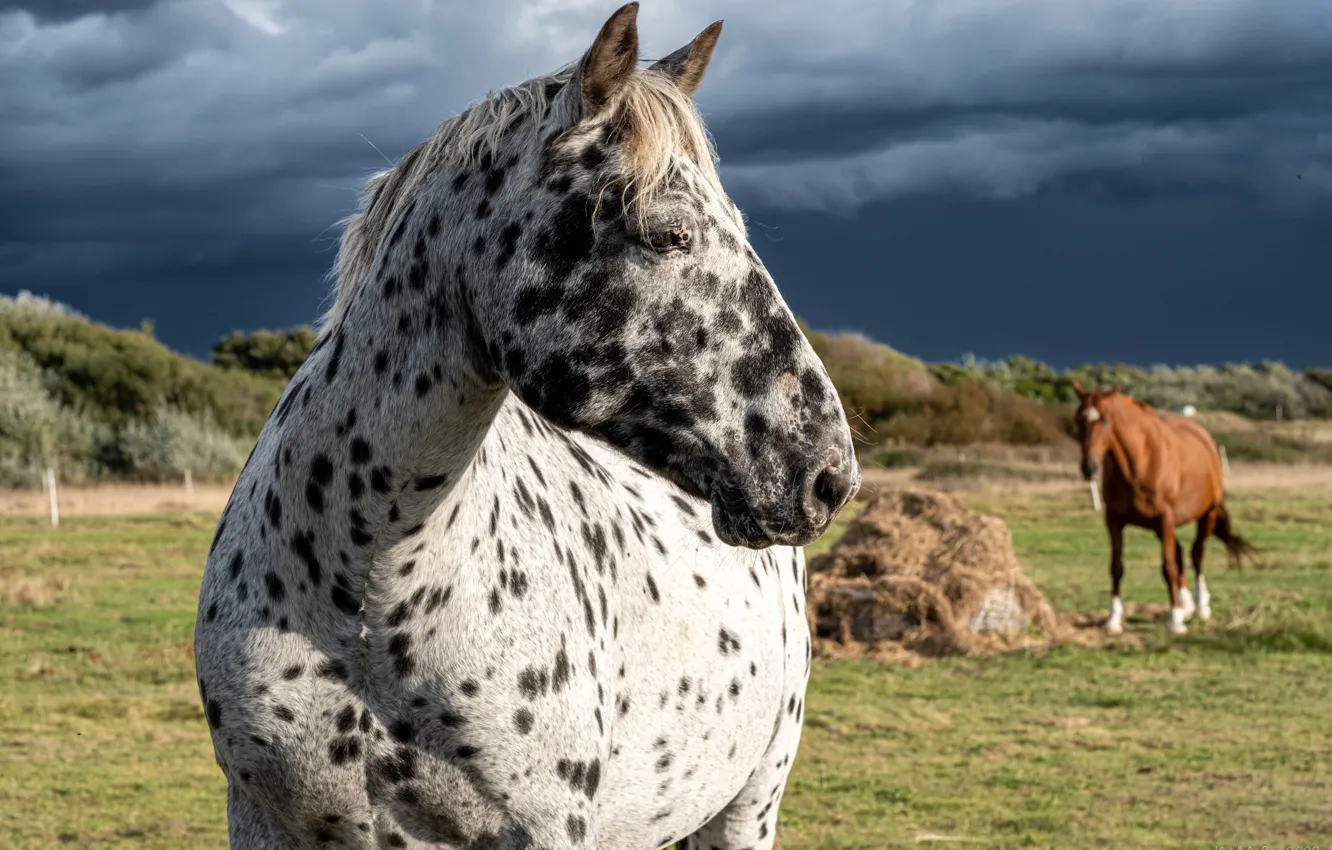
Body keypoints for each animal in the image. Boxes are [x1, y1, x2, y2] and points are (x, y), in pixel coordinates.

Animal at [1072, 382, 1254, 635]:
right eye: (1078, 419)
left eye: (1105, 420)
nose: (1088, 468)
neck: (1139, 465)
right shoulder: (1115, 521)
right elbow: (1117, 567)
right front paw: (1113, 619)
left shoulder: (1165, 519)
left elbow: (1168, 568)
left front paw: (1175, 621)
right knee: (1179, 553)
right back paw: (1187, 604)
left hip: (1206, 516)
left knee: (1196, 555)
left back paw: (1200, 606)